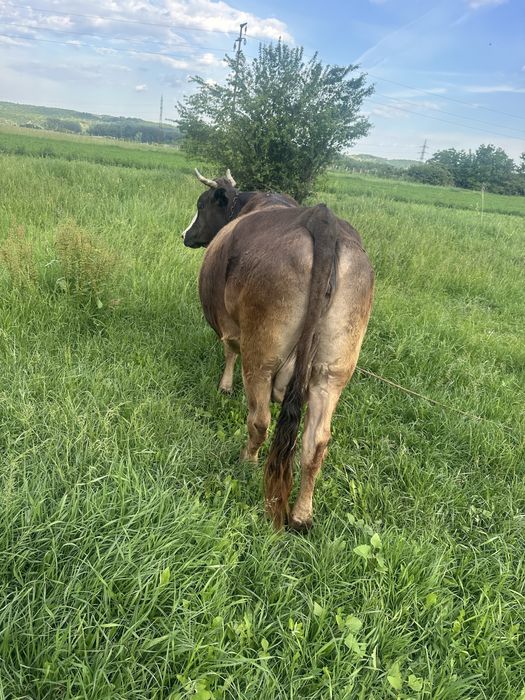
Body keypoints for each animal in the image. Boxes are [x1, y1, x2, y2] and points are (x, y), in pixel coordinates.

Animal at [182, 168, 374, 530]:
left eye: (201, 205)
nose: (185, 234)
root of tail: (321, 220)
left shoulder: (231, 327)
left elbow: (229, 351)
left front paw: (225, 386)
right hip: (333, 370)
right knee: (316, 441)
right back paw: (301, 514)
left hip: (262, 354)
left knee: (259, 421)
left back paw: (247, 462)